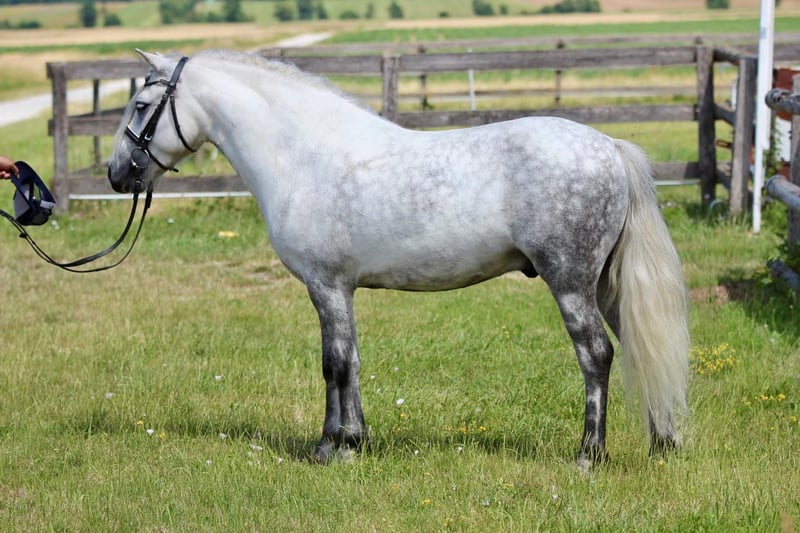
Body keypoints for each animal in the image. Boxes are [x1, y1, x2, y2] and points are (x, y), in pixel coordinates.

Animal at [107, 49, 689, 469]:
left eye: (140, 107)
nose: (116, 174)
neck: (305, 155)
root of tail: (609, 146)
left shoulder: (326, 286)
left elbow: (334, 363)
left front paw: (334, 449)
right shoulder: (339, 291)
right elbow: (349, 360)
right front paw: (352, 441)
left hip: (569, 282)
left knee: (596, 354)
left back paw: (589, 455)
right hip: (605, 285)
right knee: (637, 345)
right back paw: (664, 443)